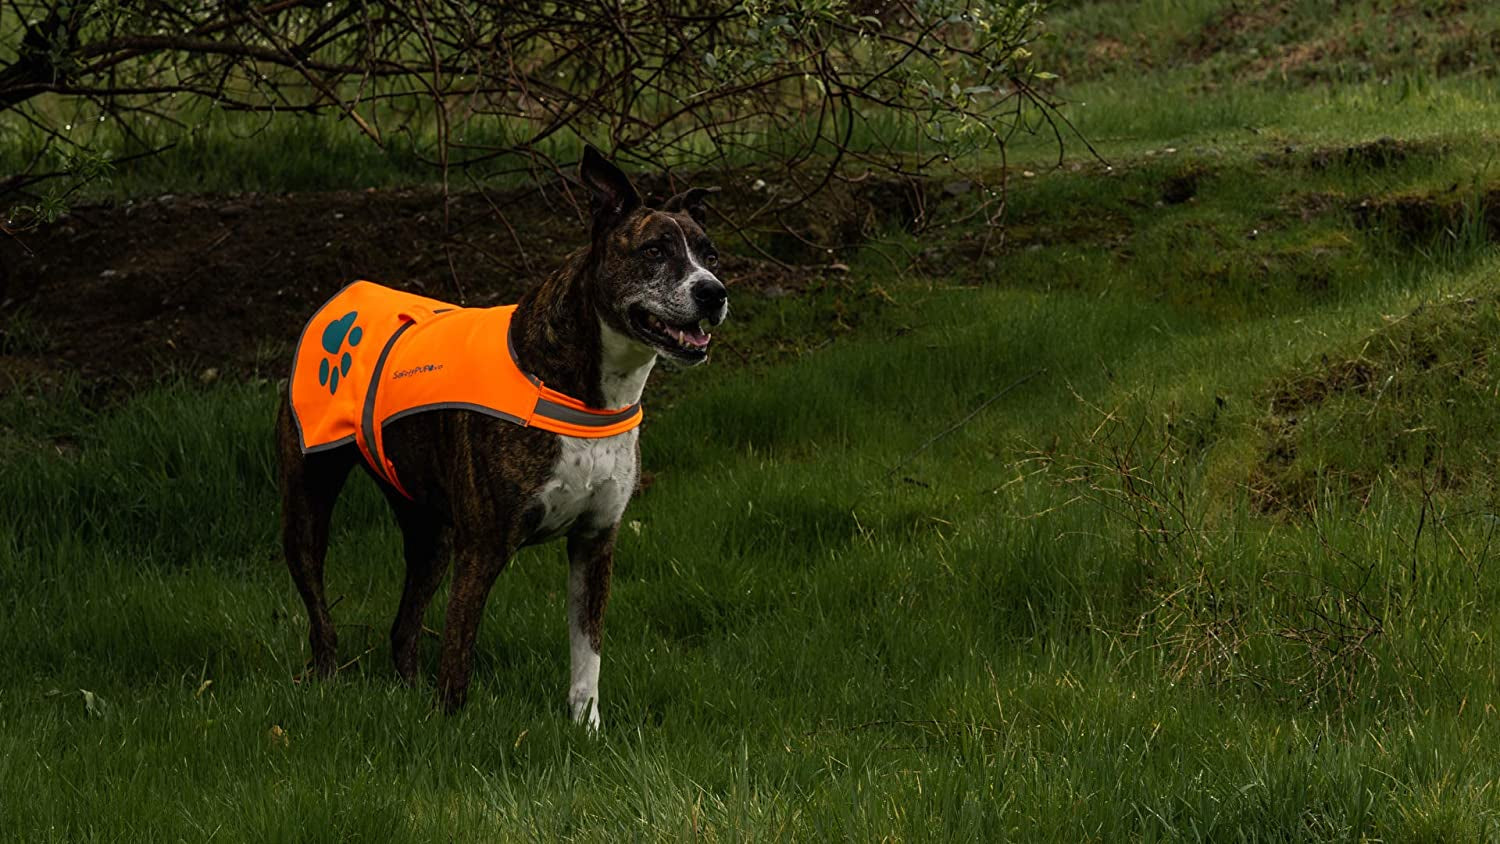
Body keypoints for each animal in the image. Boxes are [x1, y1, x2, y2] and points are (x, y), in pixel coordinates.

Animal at [279, 146, 729, 725]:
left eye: (711, 255)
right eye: (653, 250)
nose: (713, 292)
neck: (582, 388)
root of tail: (344, 295)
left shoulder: (594, 541)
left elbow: (587, 654)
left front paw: (587, 728)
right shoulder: (483, 546)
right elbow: (458, 651)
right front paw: (450, 726)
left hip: (429, 531)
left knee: (404, 627)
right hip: (308, 502)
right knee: (320, 613)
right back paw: (327, 680)